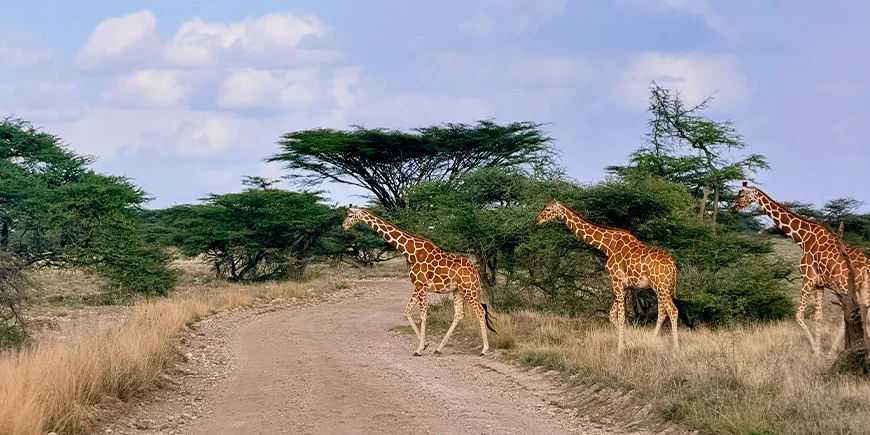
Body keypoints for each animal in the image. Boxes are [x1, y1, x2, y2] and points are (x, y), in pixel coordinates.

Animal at [342, 206, 496, 356]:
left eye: (350, 215)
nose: (342, 228)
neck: (411, 252)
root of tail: (476, 273)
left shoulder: (421, 285)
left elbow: (423, 315)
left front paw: (419, 349)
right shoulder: (418, 286)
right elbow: (407, 311)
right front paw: (425, 345)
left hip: (469, 290)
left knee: (480, 311)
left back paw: (484, 350)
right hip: (458, 291)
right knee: (459, 314)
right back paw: (439, 349)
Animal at [535, 199, 679, 354]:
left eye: (548, 209)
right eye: (544, 206)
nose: (536, 221)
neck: (608, 246)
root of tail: (673, 265)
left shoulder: (616, 280)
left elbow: (620, 316)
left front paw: (619, 349)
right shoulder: (624, 285)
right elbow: (612, 314)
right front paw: (628, 342)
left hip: (660, 286)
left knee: (672, 310)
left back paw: (676, 348)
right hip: (661, 287)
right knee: (663, 312)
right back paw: (652, 342)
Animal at [730, 182, 870, 355]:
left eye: (741, 195)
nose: (733, 209)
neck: (803, 237)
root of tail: (867, 265)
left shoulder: (808, 278)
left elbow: (798, 315)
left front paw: (816, 351)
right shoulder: (819, 285)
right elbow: (818, 317)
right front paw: (819, 350)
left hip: (846, 287)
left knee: (851, 316)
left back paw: (834, 351)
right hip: (863, 287)